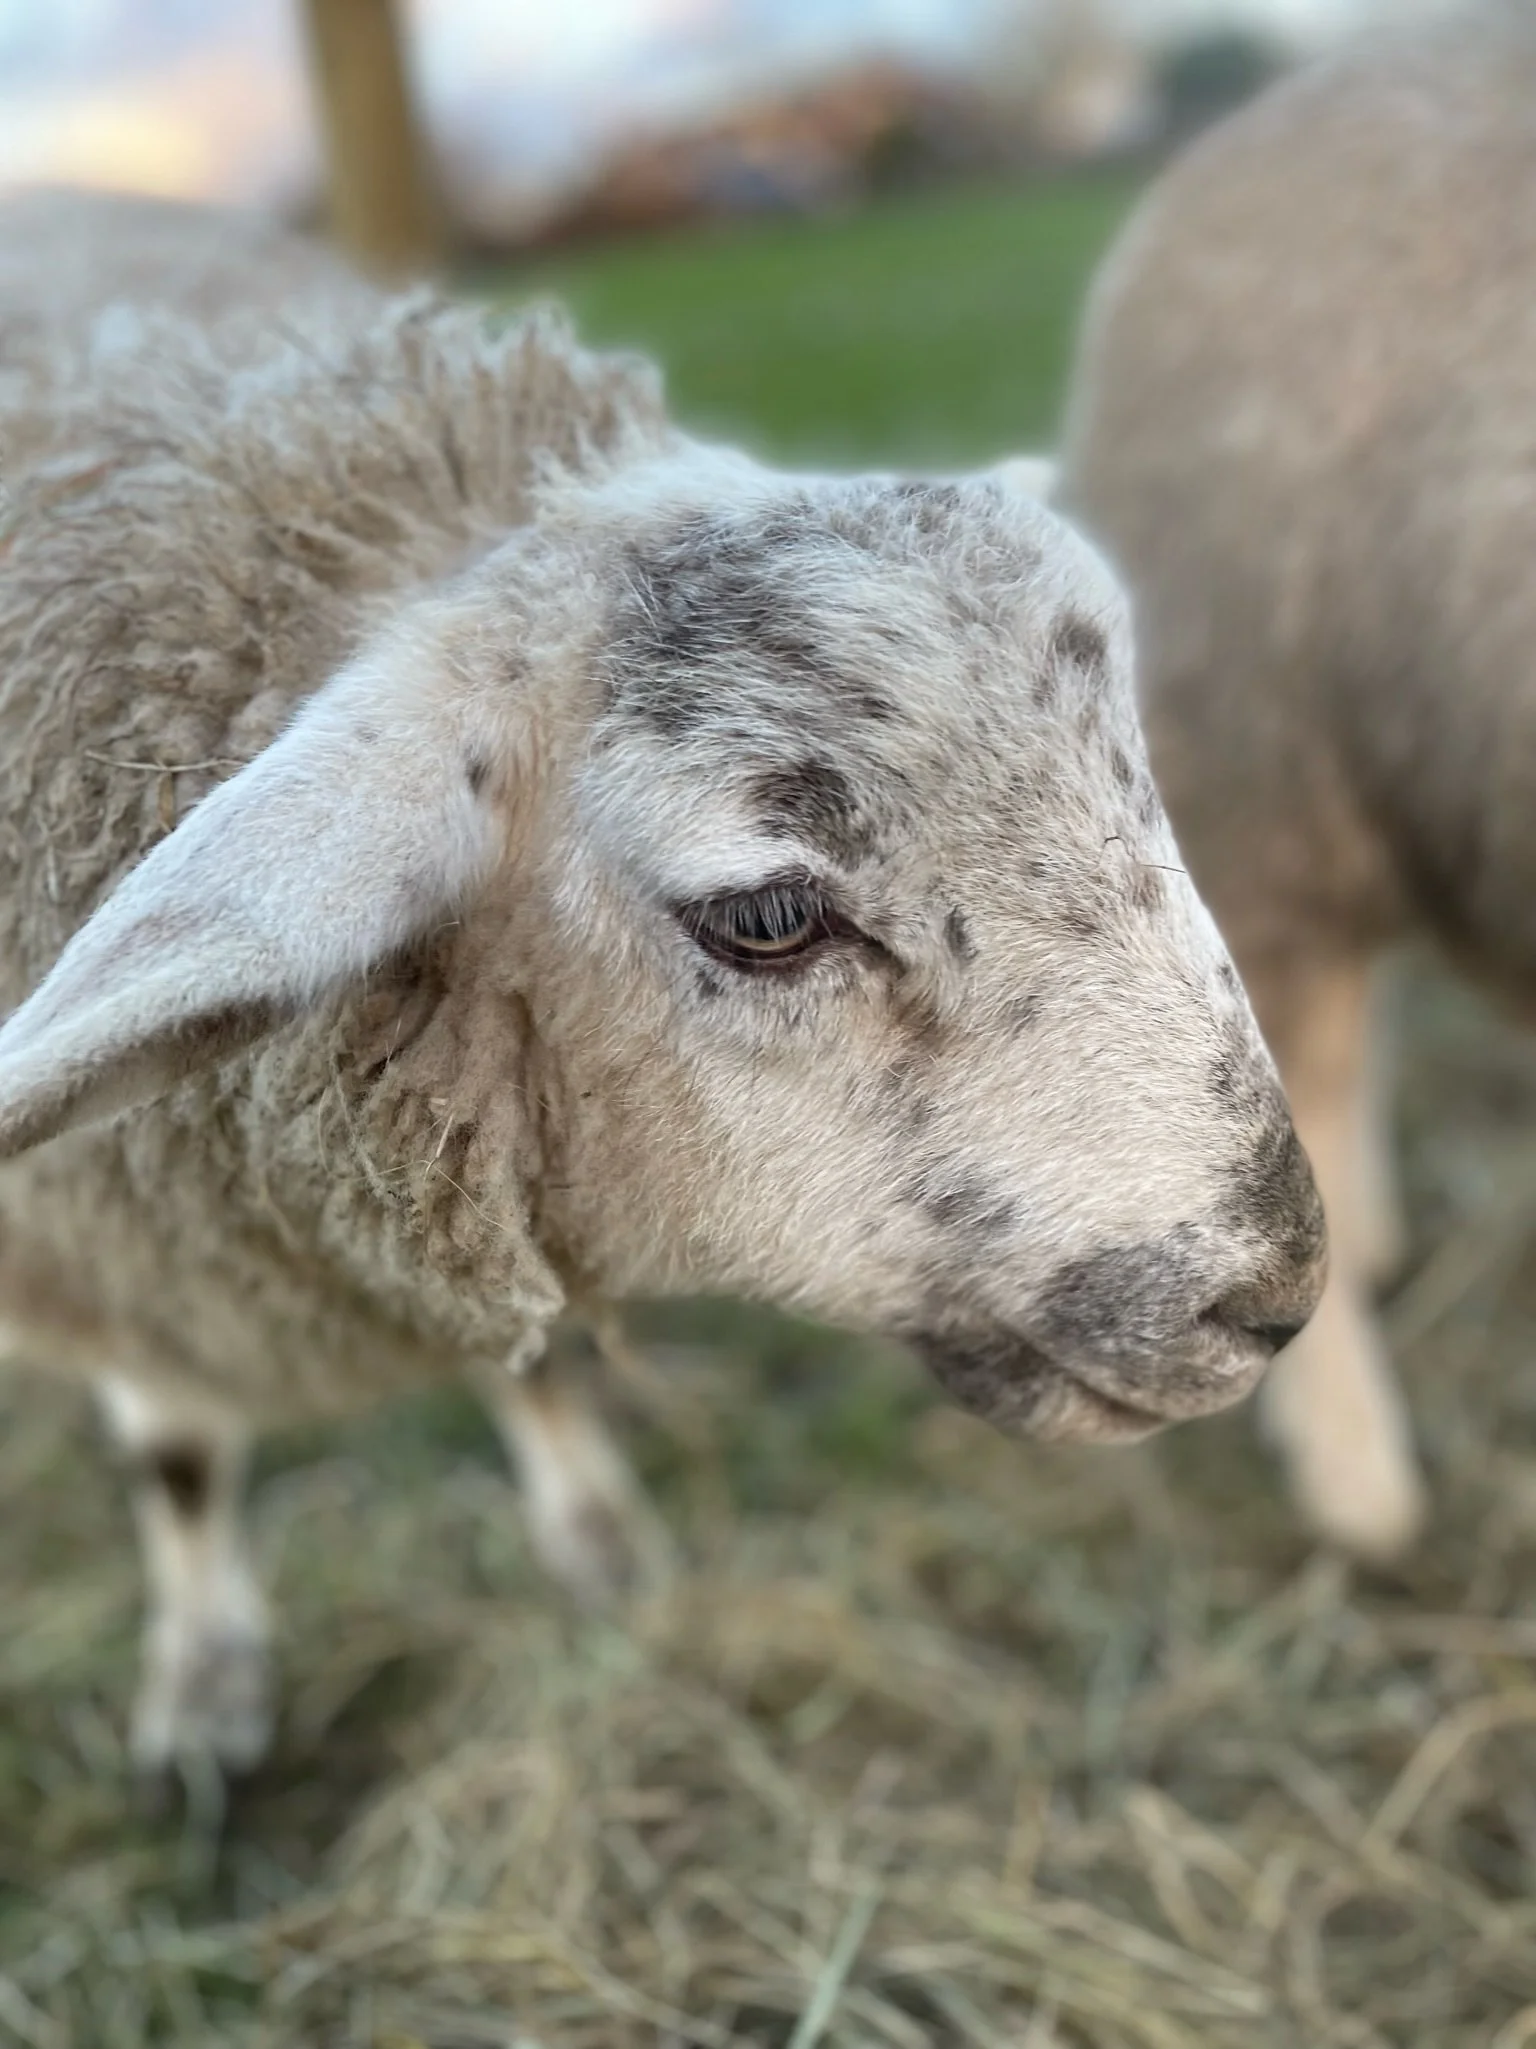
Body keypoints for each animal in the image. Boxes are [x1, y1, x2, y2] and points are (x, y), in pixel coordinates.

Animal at [0, 189, 1324, 1783]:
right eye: (768, 916)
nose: (1279, 1297)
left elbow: (528, 1351)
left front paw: (601, 1543)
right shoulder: (102, 1251)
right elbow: (183, 1459)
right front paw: (202, 1688)